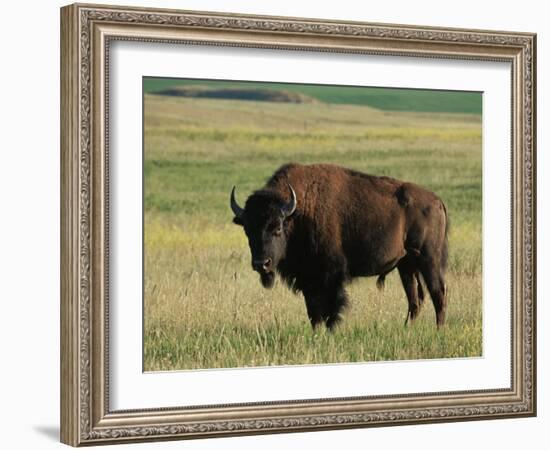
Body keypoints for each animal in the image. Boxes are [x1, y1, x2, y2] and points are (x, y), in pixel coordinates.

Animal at [231, 163, 450, 328]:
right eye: (247, 230)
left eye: (277, 227)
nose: (261, 264)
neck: (299, 212)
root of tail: (437, 201)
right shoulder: (308, 279)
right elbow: (313, 311)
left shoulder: (330, 276)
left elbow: (330, 308)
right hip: (406, 265)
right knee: (415, 300)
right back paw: (407, 328)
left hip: (428, 259)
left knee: (438, 293)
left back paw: (439, 329)